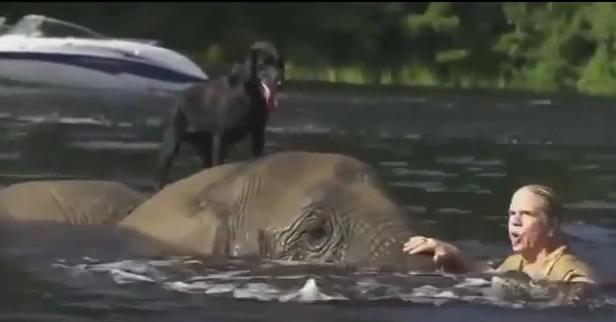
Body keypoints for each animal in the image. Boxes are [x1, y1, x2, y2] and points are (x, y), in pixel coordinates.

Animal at [158, 42, 286, 189]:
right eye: (263, 63)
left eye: (279, 64)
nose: (278, 80)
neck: (250, 94)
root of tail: (178, 97)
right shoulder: (221, 138)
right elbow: (219, 165)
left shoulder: (258, 132)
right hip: (172, 143)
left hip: (204, 147)